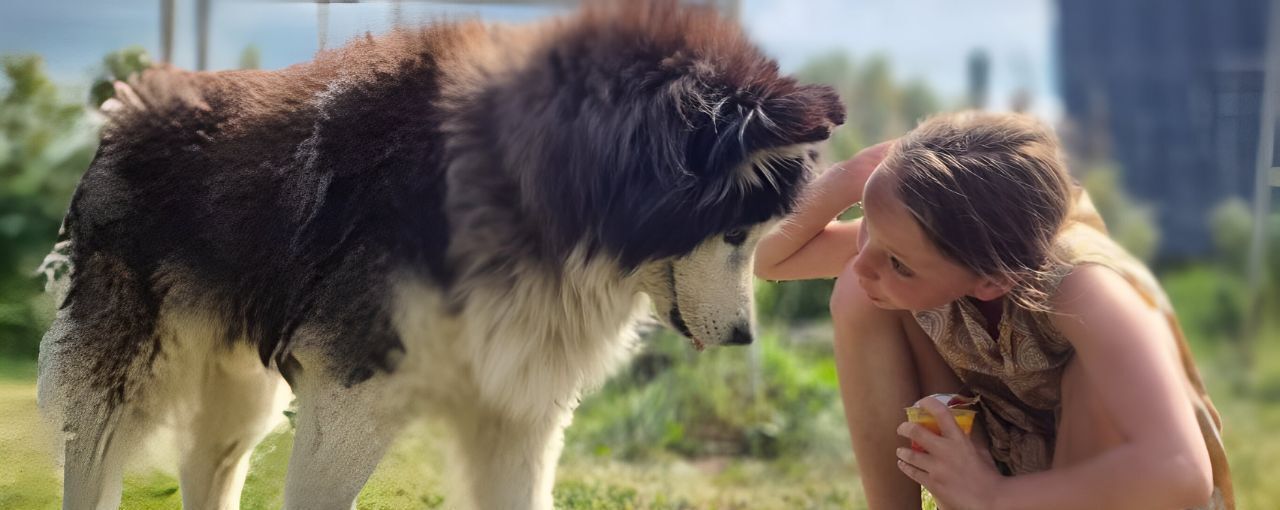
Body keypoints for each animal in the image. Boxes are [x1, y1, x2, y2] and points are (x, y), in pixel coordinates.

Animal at [35, 1, 844, 507]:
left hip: (237, 392)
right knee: (91, 466)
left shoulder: (517, 414)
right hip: (129, 376)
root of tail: (129, 103)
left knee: (208, 465)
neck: (534, 188)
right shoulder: (349, 396)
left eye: (761, 237)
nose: (744, 338)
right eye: (737, 233)